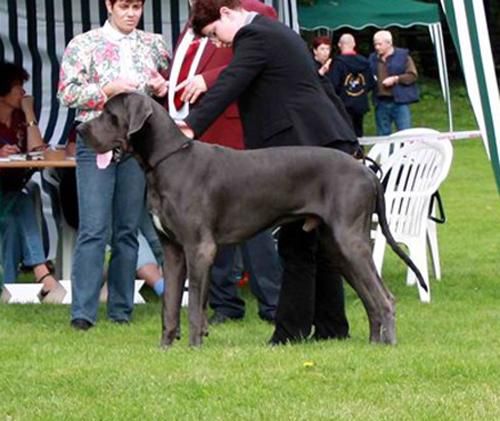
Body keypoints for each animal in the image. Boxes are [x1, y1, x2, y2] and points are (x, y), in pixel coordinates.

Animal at [78, 93, 426, 348]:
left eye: (109, 114)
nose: (80, 130)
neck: (168, 161)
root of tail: (367, 172)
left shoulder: (199, 248)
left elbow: (195, 306)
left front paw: (193, 347)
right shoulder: (173, 251)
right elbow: (171, 306)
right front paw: (165, 348)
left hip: (350, 241)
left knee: (385, 298)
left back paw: (389, 346)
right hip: (337, 249)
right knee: (370, 299)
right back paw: (374, 344)